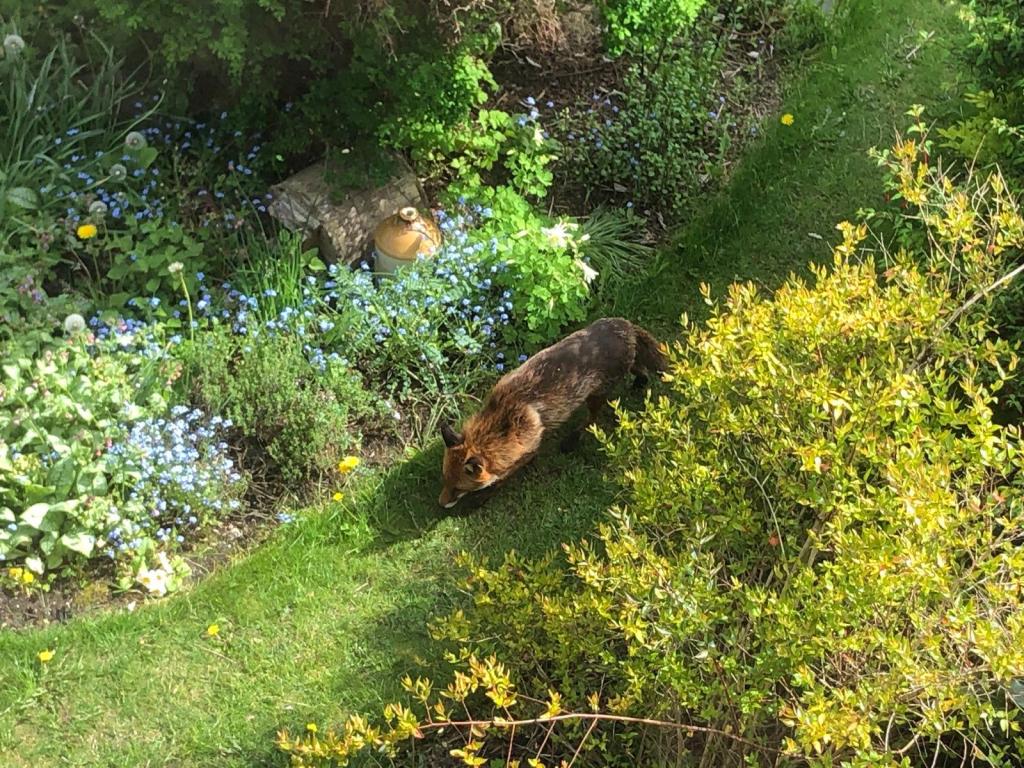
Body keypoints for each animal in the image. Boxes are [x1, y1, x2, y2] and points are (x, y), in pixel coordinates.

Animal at [438, 317, 668, 508]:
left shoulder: (528, 448)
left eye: (458, 488)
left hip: (596, 395)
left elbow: (504, 477)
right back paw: (640, 382)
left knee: (592, 419)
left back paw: (573, 439)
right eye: (445, 480)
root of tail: (624, 325)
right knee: (640, 370)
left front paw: (482, 497)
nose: (441, 504)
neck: (502, 416)